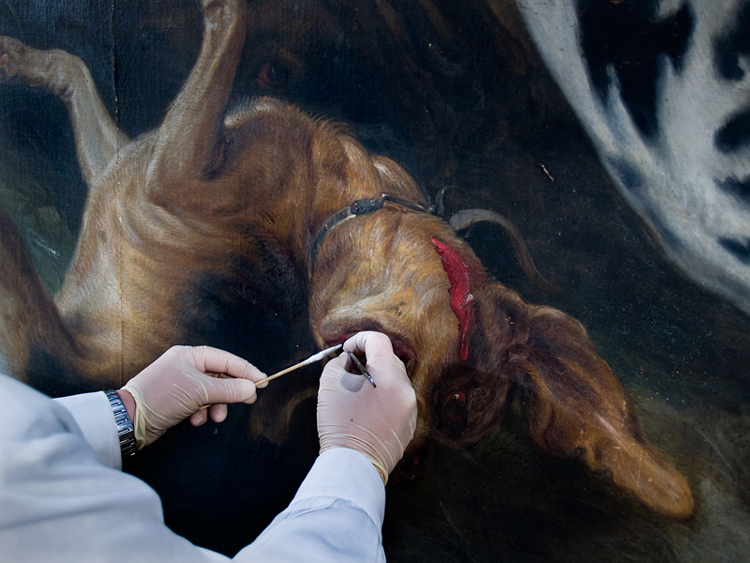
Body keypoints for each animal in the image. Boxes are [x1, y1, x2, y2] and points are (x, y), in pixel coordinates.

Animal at [0, 0, 696, 520]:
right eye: (460, 400)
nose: (408, 466)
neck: (323, 209)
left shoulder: (172, 168)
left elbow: (227, 32)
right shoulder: (125, 163)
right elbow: (75, 68)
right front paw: (21, 58)